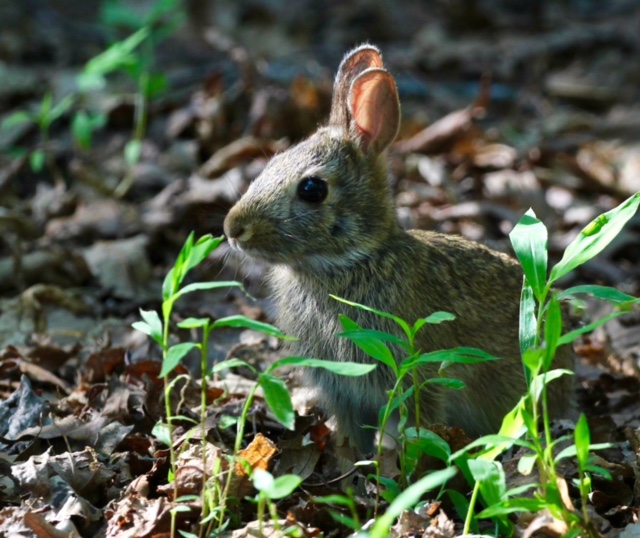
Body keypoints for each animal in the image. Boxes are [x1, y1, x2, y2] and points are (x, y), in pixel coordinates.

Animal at [223, 44, 575, 453]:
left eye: (312, 189)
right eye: (274, 162)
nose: (233, 228)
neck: (348, 261)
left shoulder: (412, 374)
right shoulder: (342, 389)